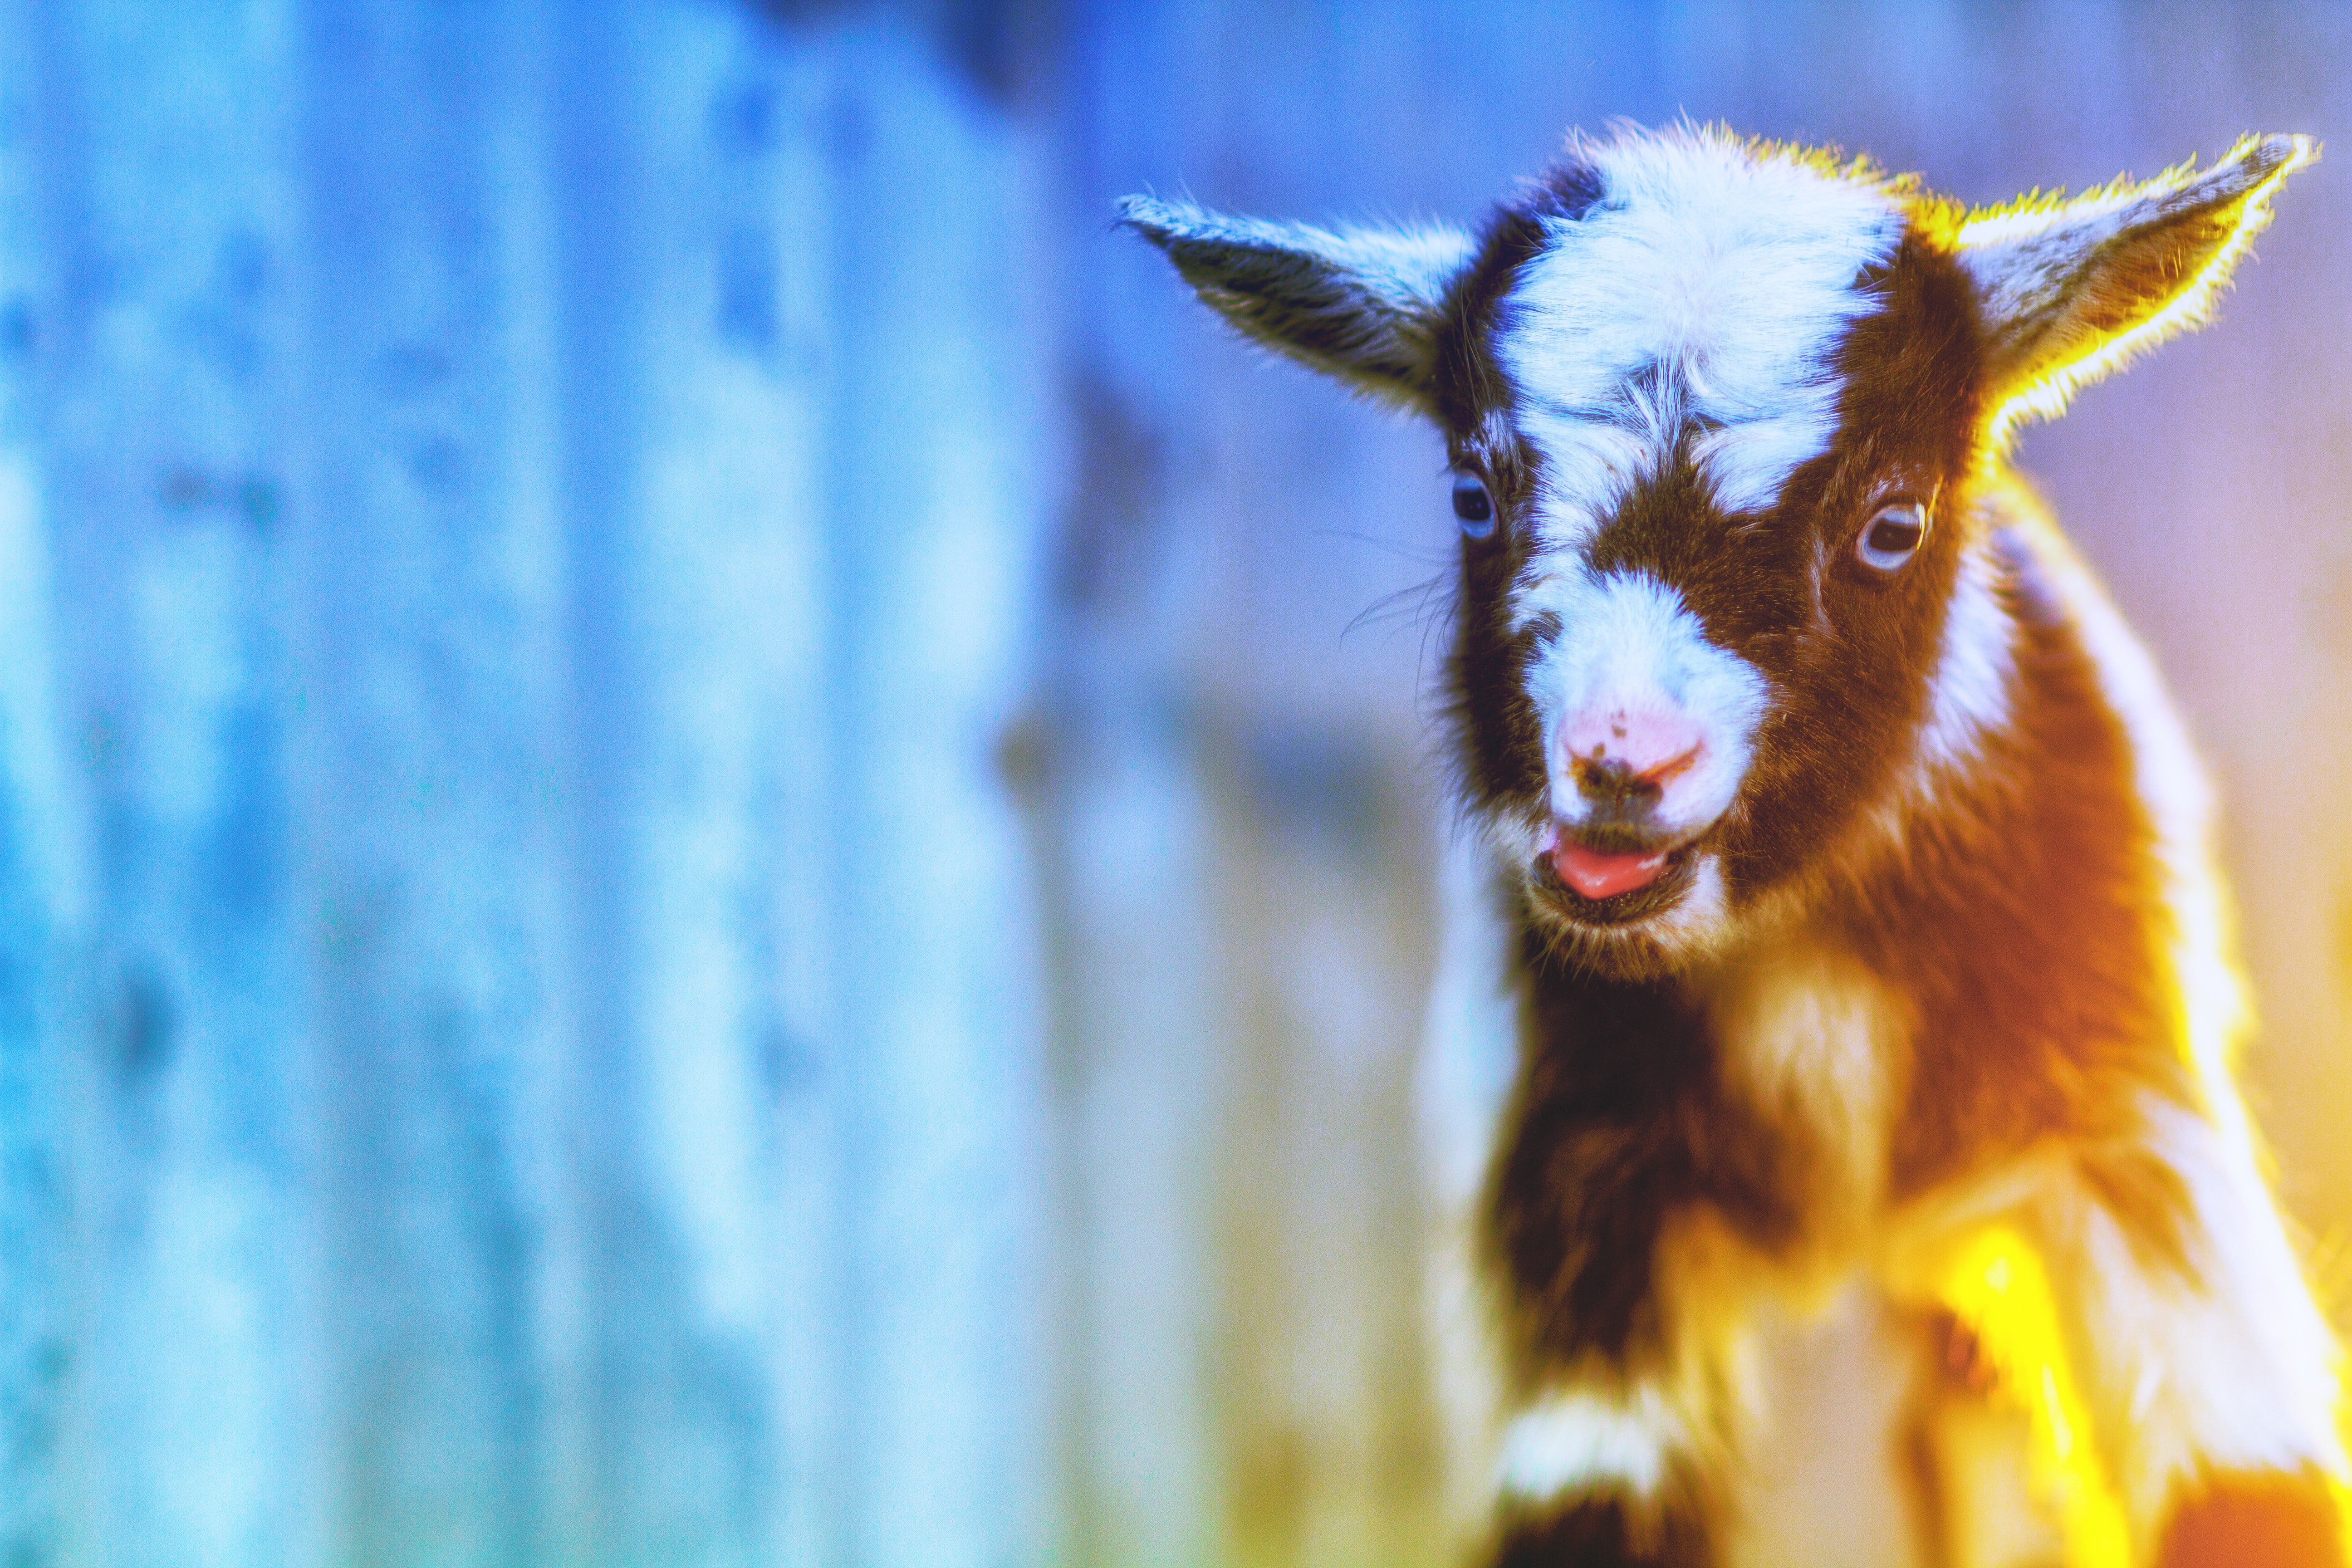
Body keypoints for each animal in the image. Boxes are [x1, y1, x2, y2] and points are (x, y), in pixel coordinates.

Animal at [1122, 126, 2342, 1567]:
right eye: (1472, 493)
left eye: (1892, 524)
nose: (1620, 761)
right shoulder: (1568, 1183)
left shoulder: (2132, 1130)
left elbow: (2244, 1484)